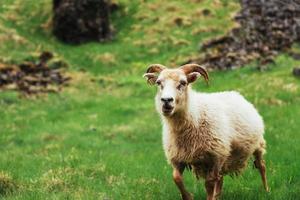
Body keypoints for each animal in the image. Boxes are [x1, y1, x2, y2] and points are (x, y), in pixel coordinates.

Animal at [143, 64, 270, 200]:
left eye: (183, 83)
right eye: (158, 82)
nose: (166, 100)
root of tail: (235, 94)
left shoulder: (214, 157)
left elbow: (209, 183)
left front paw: (209, 196)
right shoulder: (178, 158)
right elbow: (176, 178)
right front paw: (188, 196)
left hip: (257, 144)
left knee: (261, 165)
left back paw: (266, 190)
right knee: (220, 177)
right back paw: (218, 196)